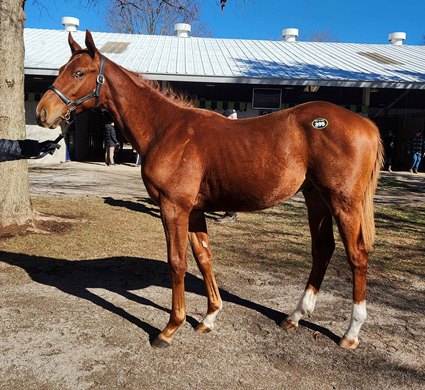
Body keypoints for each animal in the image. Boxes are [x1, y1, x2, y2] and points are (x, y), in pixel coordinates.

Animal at [35, 29, 380, 348]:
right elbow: (204, 257)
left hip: (343, 202)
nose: (42, 112)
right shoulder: (194, 210)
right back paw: (294, 316)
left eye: (79, 73)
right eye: (62, 69)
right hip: (316, 197)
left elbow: (177, 262)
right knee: (323, 249)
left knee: (357, 254)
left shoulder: (174, 207)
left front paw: (170, 328)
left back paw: (351, 333)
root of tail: (366, 125)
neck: (166, 129)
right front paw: (209, 317)